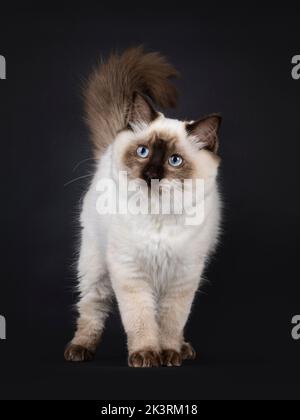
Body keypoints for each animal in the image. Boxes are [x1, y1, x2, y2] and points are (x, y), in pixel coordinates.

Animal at [63, 46, 223, 368]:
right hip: (95, 267)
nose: (150, 174)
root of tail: (108, 152)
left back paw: (183, 349)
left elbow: (172, 322)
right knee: (92, 308)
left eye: (175, 160)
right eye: (143, 151)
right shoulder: (130, 273)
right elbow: (140, 321)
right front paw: (146, 354)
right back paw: (79, 349)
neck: (157, 215)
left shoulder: (182, 278)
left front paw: (169, 354)